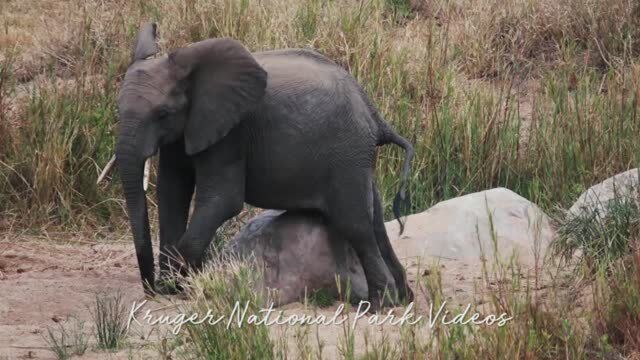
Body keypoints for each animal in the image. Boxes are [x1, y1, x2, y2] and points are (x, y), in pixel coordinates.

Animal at [115, 23, 416, 310]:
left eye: (162, 114)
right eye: (117, 109)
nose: (151, 290)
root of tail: (374, 113)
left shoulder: (231, 133)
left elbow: (221, 200)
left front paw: (184, 286)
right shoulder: (185, 131)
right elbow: (172, 193)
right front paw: (175, 288)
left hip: (347, 154)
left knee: (355, 225)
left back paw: (377, 306)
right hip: (356, 159)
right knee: (374, 222)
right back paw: (403, 298)